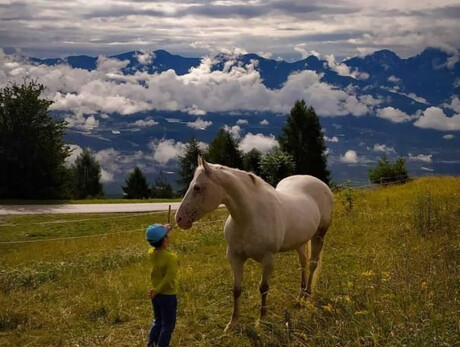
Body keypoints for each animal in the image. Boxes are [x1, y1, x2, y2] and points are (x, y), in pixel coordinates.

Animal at [174, 157, 332, 332]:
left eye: (197, 187)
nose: (179, 219)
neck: (250, 217)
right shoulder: (235, 257)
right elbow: (236, 289)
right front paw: (232, 323)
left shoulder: (268, 259)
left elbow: (263, 288)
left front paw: (261, 320)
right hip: (300, 241)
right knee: (303, 263)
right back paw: (300, 295)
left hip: (319, 235)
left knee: (312, 264)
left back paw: (307, 295)